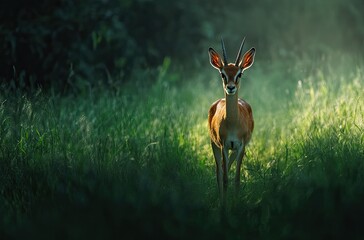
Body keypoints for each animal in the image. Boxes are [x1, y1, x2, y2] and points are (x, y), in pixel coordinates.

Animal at [208, 38, 256, 202]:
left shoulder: (241, 146)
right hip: (215, 145)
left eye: (239, 74)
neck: (233, 124)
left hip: (234, 150)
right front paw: (224, 205)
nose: (230, 87)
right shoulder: (223, 146)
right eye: (222, 74)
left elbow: (236, 179)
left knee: (226, 169)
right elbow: (225, 179)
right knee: (220, 172)